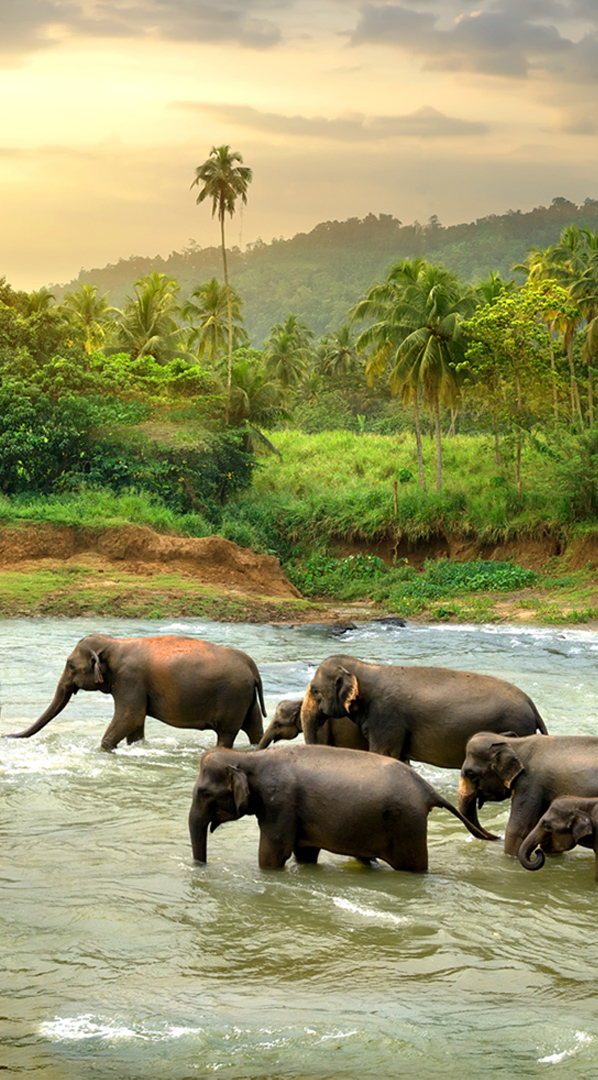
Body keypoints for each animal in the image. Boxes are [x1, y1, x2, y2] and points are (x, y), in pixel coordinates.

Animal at [5, 634, 266, 751]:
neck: (113, 644)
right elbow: (135, 723)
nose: (5, 736)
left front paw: (105, 750)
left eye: (70, 666)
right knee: (254, 728)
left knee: (226, 733)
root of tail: (251, 665)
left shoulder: (130, 680)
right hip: (246, 698)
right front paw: (135, 747)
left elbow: (130, 716)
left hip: (233, 697)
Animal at [188, 743, 494, 870]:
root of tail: (427, 789)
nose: (201, 867)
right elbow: (305, 853)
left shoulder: (280, 804)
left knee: (412, 867)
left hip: (408, 825)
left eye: (204, 793)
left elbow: (272, 855)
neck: (248, 758)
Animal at [299, 654, 547, 769]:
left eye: (315, 691)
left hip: (516, 726)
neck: (364, 667)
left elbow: (383, 754)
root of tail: (532, 705)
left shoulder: (387, 720)